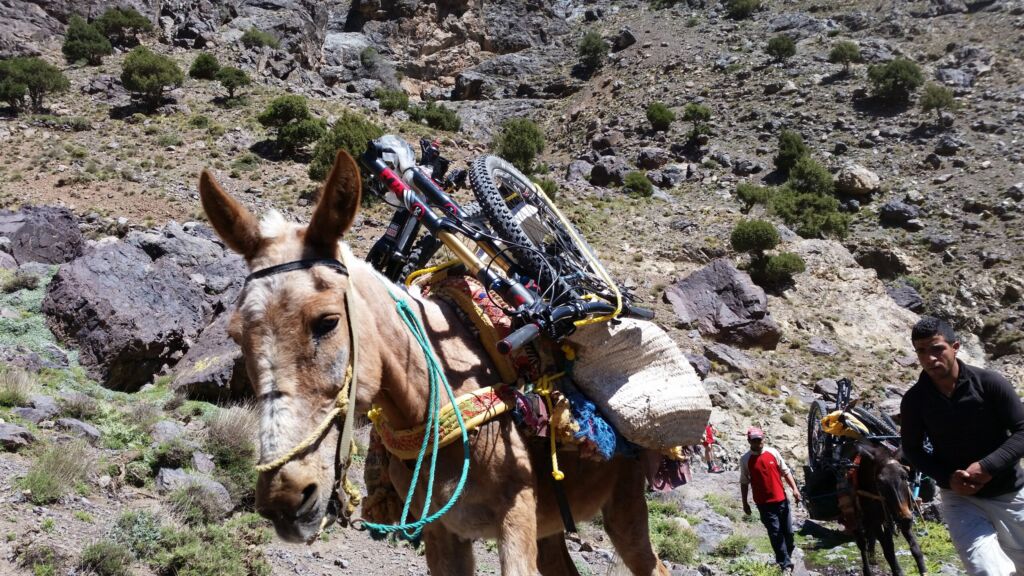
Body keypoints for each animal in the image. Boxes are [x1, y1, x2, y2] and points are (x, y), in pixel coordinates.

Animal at [197, 149, 671, 576]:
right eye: (236, 335)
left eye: (327, 321)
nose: (285, 498)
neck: (435, 391)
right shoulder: (444, 533)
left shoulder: (516, 519)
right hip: (552, 527)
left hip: (623, 506)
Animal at [842, 441, 928, 576]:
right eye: (880, 482)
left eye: (905, 476)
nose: (905, 519)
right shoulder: (876, 520)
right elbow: (888, 551)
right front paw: (898, 571)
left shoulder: (901, 515)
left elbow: (915, 548)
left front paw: (923, 570)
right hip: (855, 518)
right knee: (862, 544)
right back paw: (867, 570)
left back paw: (872, 558)